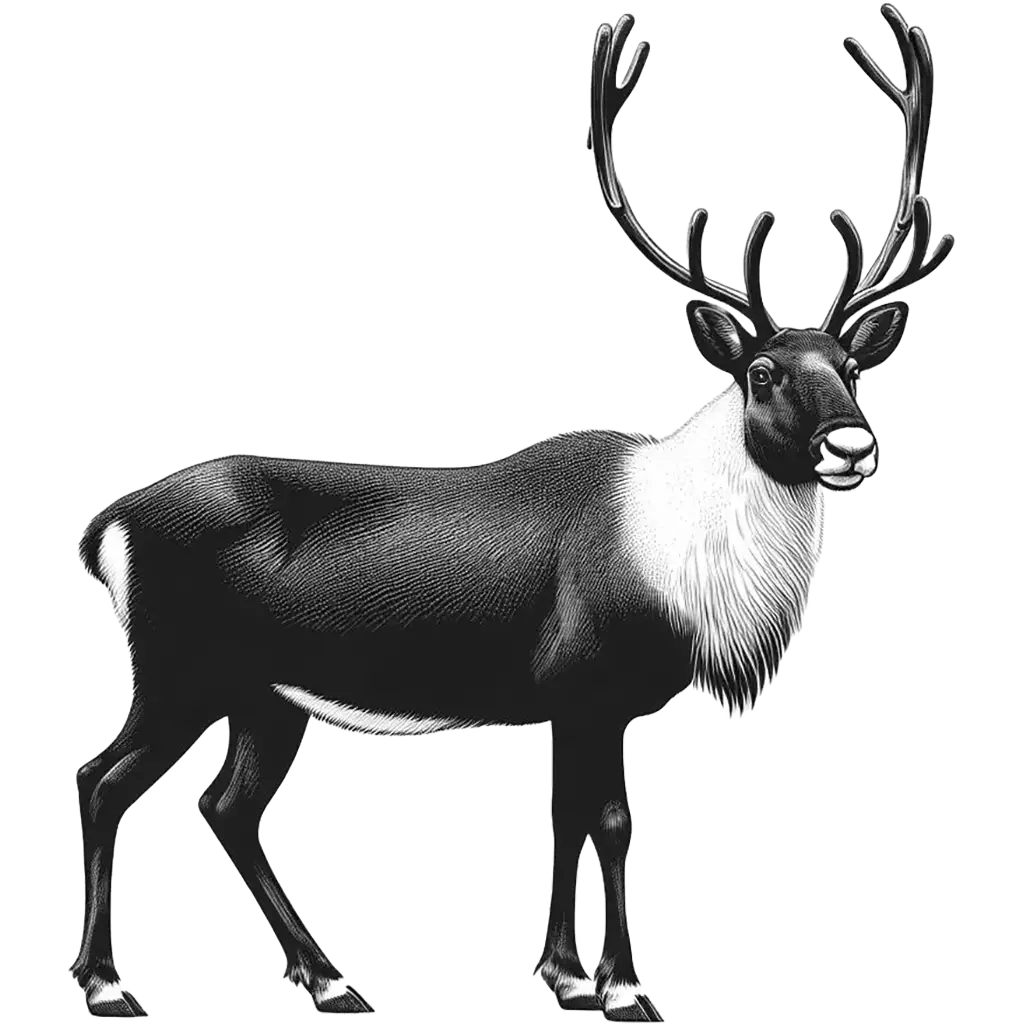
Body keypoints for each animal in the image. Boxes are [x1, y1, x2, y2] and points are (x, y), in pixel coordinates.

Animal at [71, 5, 953, 1020]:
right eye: (763, 371)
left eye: (852, 368)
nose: (852, 445)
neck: (685, 565)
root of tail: (102, 531)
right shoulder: (590, 685)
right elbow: (609, 818)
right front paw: (624, 987)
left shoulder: (569, 705)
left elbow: (565, 816)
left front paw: (564, 974)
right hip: (179, 672)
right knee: (101, 781)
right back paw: (109, 984)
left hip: (264, 696)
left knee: (227, 806)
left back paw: (330, 978)